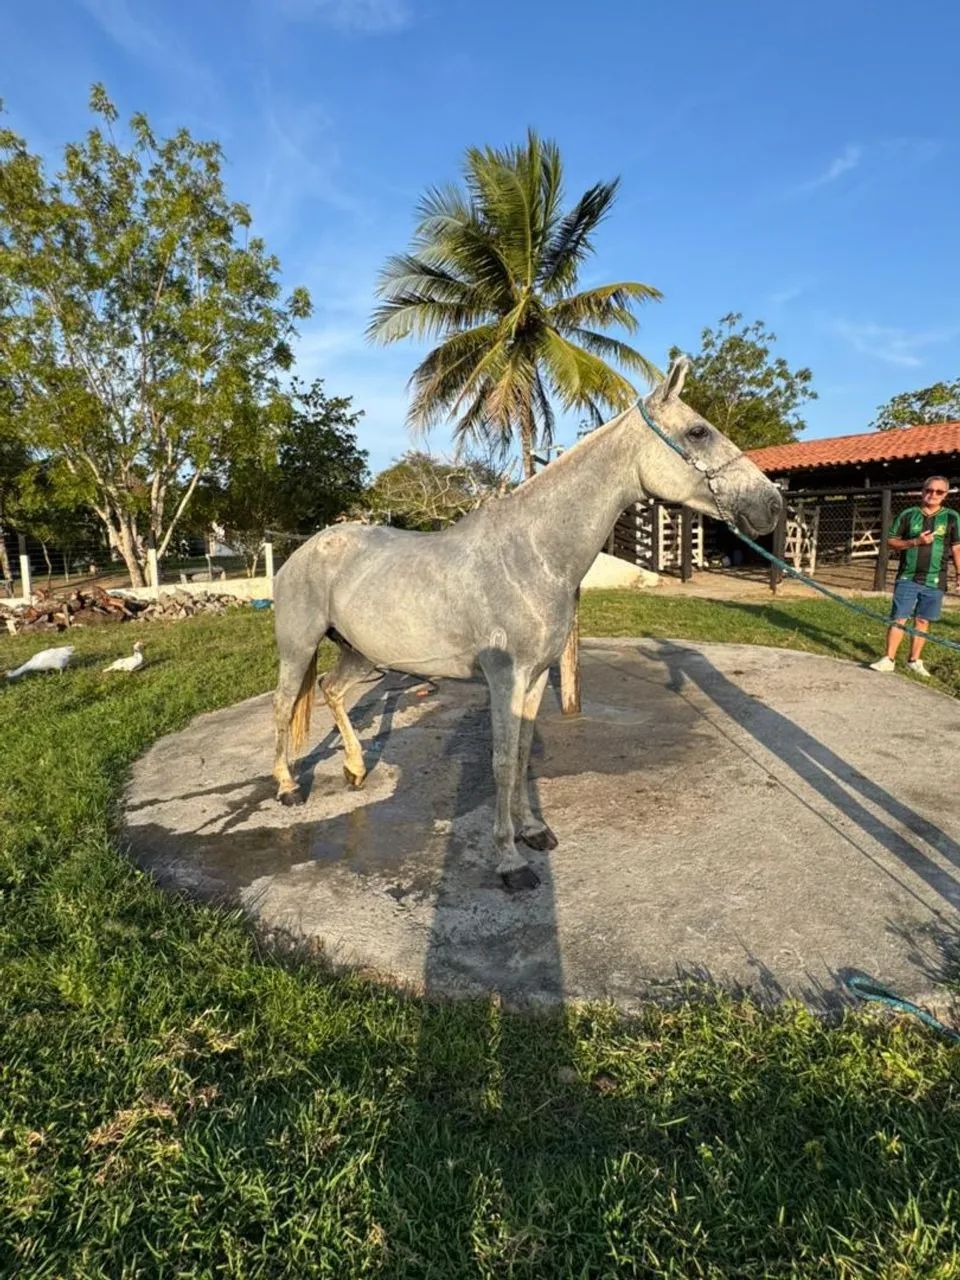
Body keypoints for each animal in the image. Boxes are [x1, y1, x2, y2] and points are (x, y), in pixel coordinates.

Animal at [271, 357, 782, 891]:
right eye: (698, 431)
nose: (771, 504)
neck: (531, 555)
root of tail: (306, 549)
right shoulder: (505, 678)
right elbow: (499, 762)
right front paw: (509, 860)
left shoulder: (535, 677)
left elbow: (520, 756)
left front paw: (532, 830)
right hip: (299, 648)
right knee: (284, 707)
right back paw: (287, 788)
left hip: (360, 654)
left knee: (330, 691)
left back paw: (354, 768)